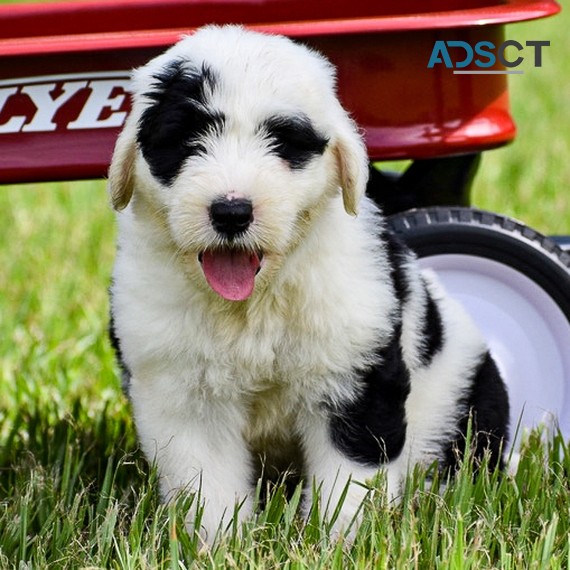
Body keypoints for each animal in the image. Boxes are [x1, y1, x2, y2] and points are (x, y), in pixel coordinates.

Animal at [108, 25, 508, 540]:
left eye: (284, 142)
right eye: (184, 139)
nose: (231, 211)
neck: (255, 303)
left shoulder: (354, 374)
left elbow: (351, 476)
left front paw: (342, 542)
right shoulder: (184, 393)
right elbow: (208, 483)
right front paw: (219, 544)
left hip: (465, 406)